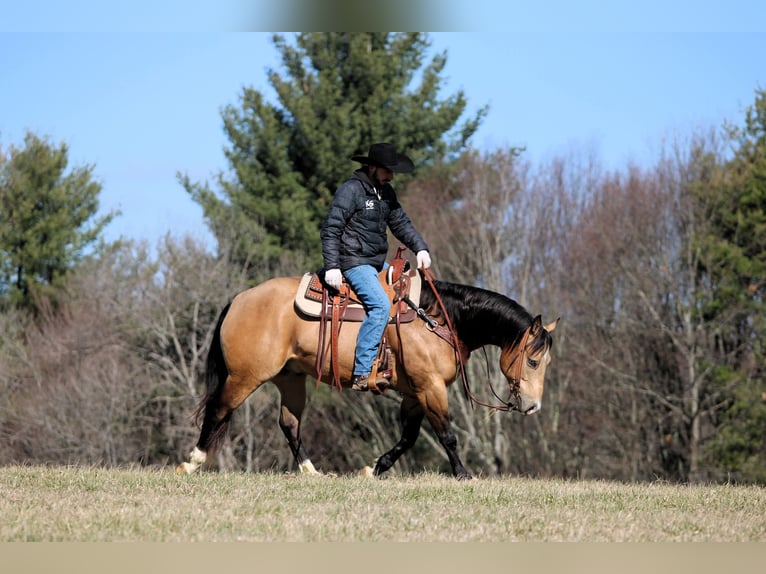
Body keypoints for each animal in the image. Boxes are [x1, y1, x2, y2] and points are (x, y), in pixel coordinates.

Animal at [176, 270, 558, 480]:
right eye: (533, 361)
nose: (534, 406)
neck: (438, 318)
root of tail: (239, 299)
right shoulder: (431, 388)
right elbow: (447, 435)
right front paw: (463, 474)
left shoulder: (414, 394)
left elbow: (408, 438)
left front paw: (373, 469)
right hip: (245, 376)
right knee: (219, 410)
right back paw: (192, 462)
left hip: (291, 378)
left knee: (290, 424)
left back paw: (312, 472)